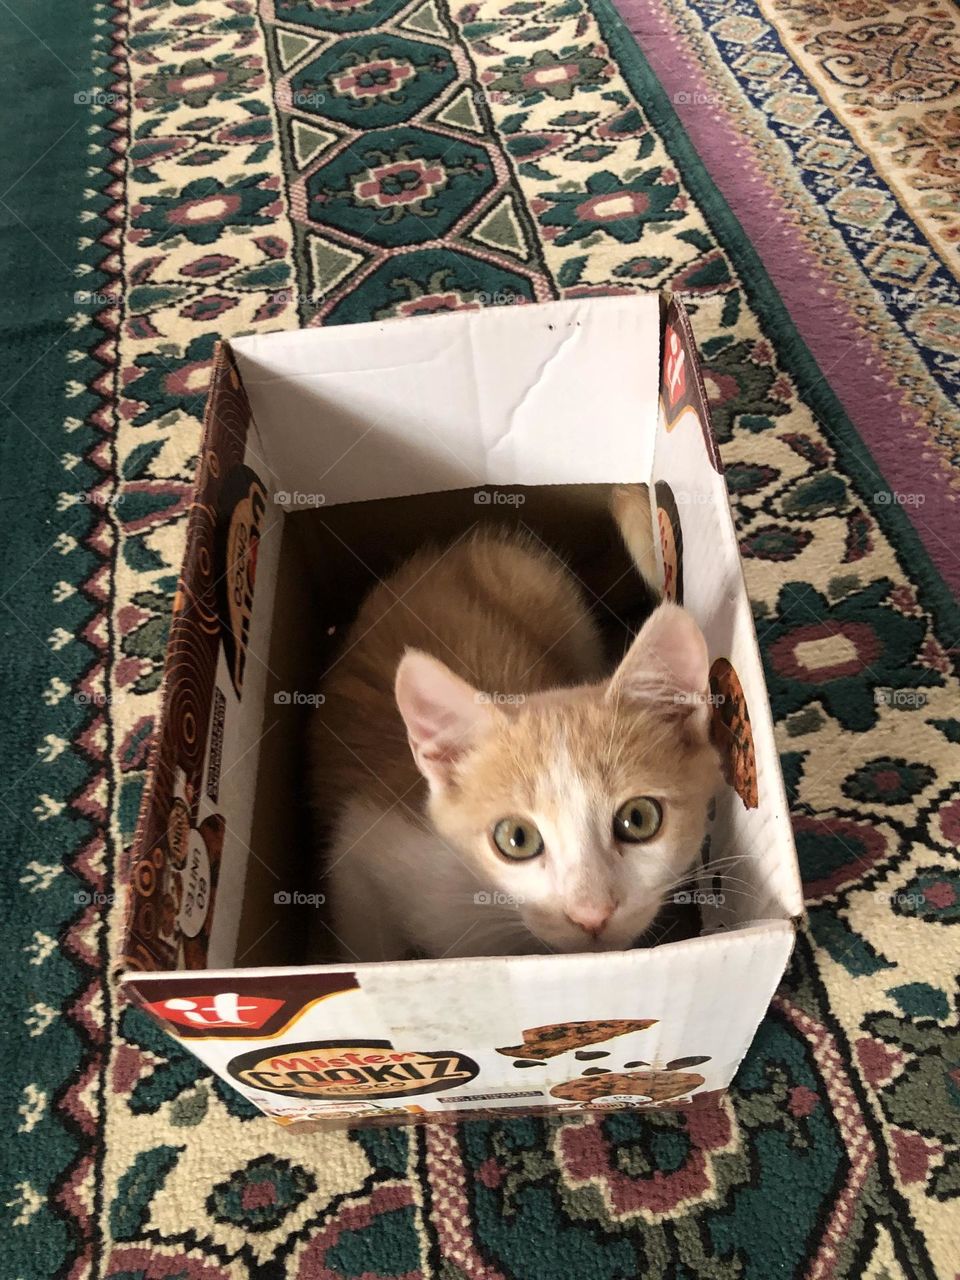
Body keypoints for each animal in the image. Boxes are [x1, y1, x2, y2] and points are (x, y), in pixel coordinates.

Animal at [308, 486, 721, 962]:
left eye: (638, 819)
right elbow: (365, 940)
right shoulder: (363, 843)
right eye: (517, 838)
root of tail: (459, 547)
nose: (591, 913)